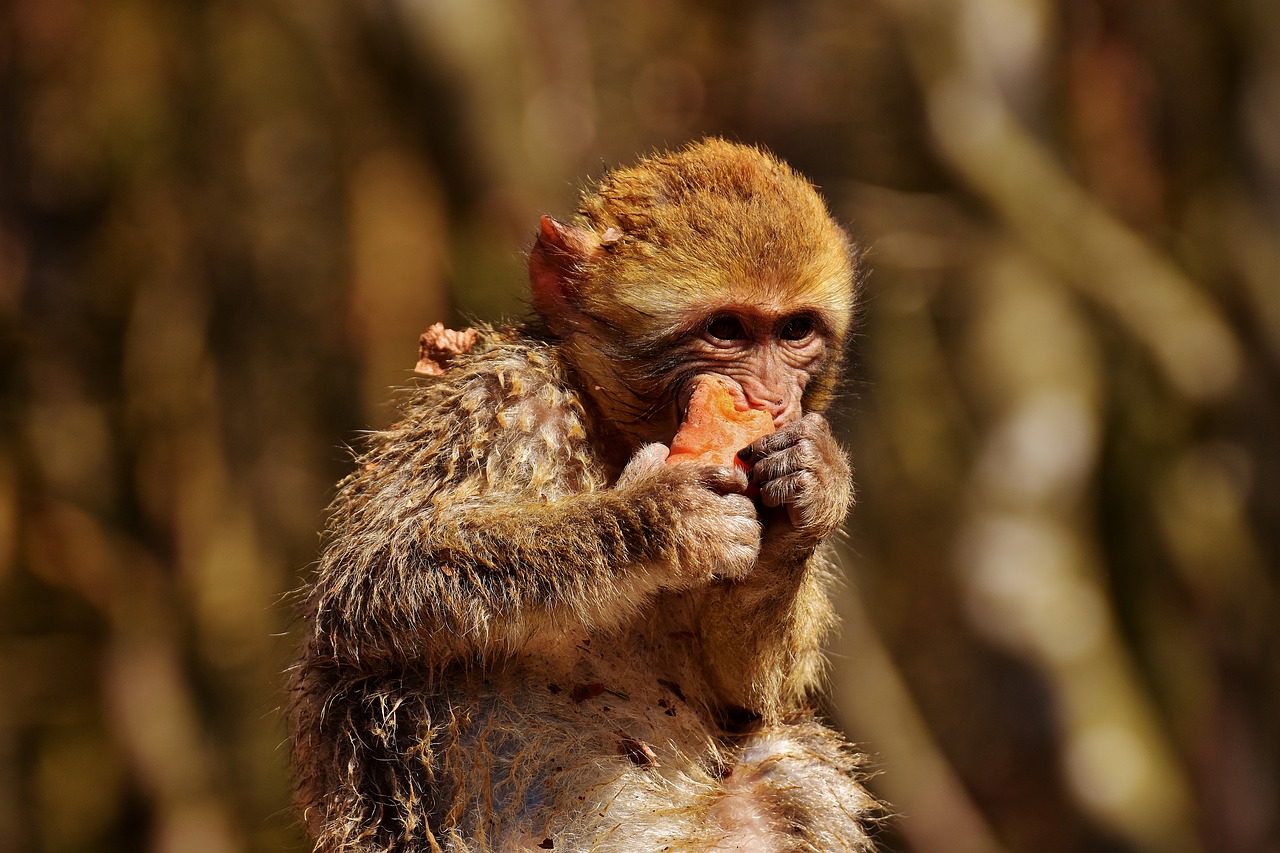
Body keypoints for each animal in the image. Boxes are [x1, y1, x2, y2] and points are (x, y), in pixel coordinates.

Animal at [290, 136, 880, 845]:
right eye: (727, 329)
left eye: (795, 330)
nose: (768, 400)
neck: (613, 430)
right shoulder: (507, 399)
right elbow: (376, 578)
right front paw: (660, 518)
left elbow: (749, 690)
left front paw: (812, 492)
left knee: (788, 761)